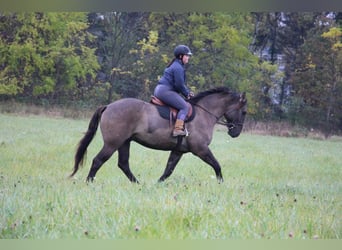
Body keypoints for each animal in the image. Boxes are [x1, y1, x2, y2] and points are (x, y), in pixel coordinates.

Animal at [69, 87, 247, 183]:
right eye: (244, 112)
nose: (236, 133)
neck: (204, 114)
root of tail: (108, 106)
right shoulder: (201, 149)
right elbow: (217, 165)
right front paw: (221, 183)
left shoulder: (178, 151)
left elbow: (168, 170)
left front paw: (157, 184)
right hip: (112, 143)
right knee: (98, 161)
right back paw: (89, 183)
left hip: (124, 142)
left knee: (123, 164)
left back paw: (138, 184)